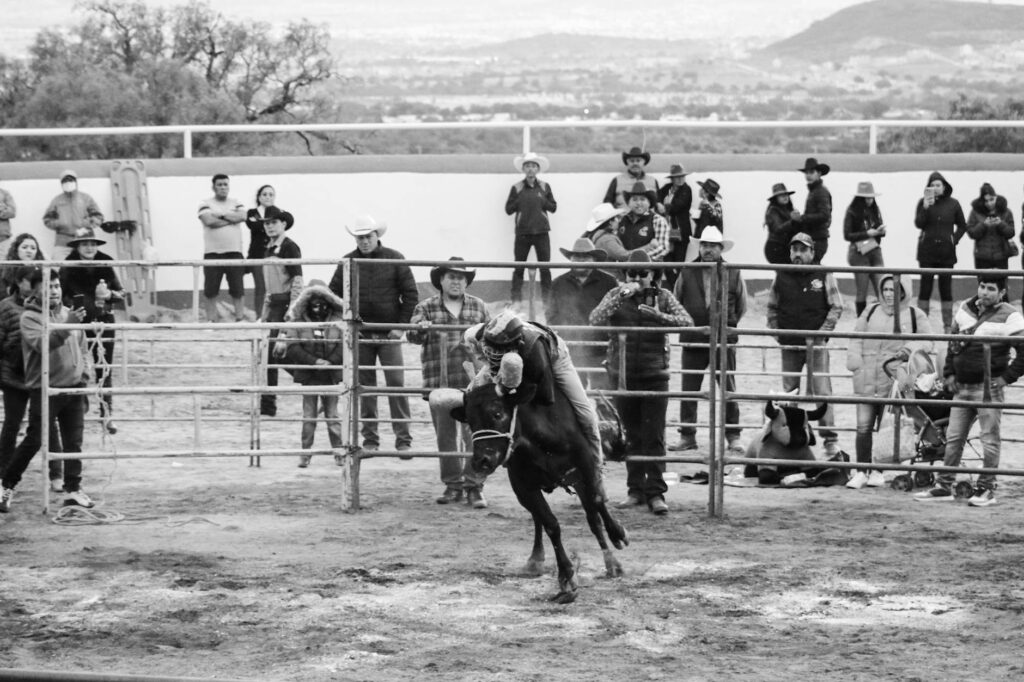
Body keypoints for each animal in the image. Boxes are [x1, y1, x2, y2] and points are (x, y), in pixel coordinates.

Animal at [430, 350, 626, 602]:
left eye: (497, 413)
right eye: (470, 422)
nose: (481, 461)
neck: (539, 438)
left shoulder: (584, 469)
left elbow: (596, 505)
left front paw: (617, 537)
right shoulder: (524, 487)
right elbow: (550, 524)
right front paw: (566, 577)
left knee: (594, 513)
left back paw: (612, 559)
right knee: (539, 519)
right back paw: (536, 559)